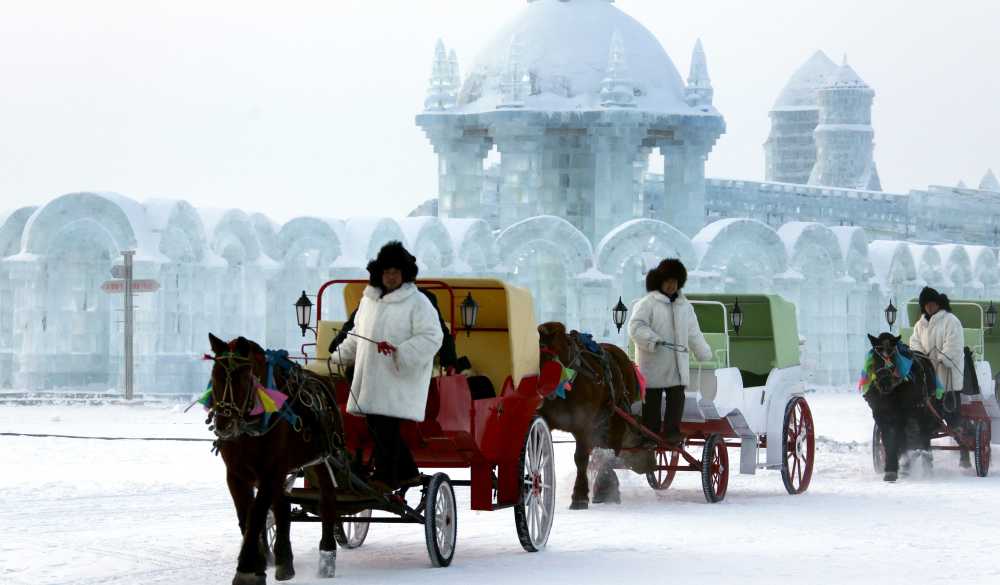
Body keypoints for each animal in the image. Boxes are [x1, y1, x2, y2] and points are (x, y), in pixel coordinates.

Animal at [204, 334, 344, 584]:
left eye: (244, 379)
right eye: (215, 376)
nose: (224, 426)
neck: (249, 431)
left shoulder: (270, 472)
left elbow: (257, 514)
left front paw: (246, 568)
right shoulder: (237, 475)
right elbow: (247, 516)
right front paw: (259, 562)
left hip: (322, 459)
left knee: (327, 498)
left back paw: (327, 553)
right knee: (281, 506)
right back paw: (284, 559)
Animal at [540, 322, 640, 508]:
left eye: (548, 358)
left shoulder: (583, 424)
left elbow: (581, 458)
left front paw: (579, 496)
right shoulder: (548, 420)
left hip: (617, 417)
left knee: (609, 451)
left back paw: (606, 487)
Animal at [864, 330, 940, 482]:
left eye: (893, 355)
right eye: (875, 356)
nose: (884, 382)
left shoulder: (902, 415)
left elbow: (899, 438)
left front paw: (900, 465)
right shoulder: (881, 415)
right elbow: (887, 440)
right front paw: (891, 468)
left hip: (923, 411)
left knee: (924, 434)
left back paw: (926, 463)